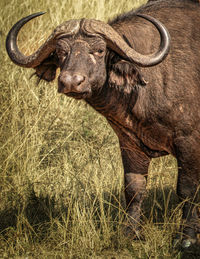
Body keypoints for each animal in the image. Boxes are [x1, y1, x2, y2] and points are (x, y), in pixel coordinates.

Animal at [5, 0, 200, 248]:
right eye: (61, 52)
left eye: (99, 50)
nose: (71, 81)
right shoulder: (129, 143)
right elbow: (134, 188)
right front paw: (130, 233)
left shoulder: (188, 142)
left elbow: (187, 189)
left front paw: (187, 237)